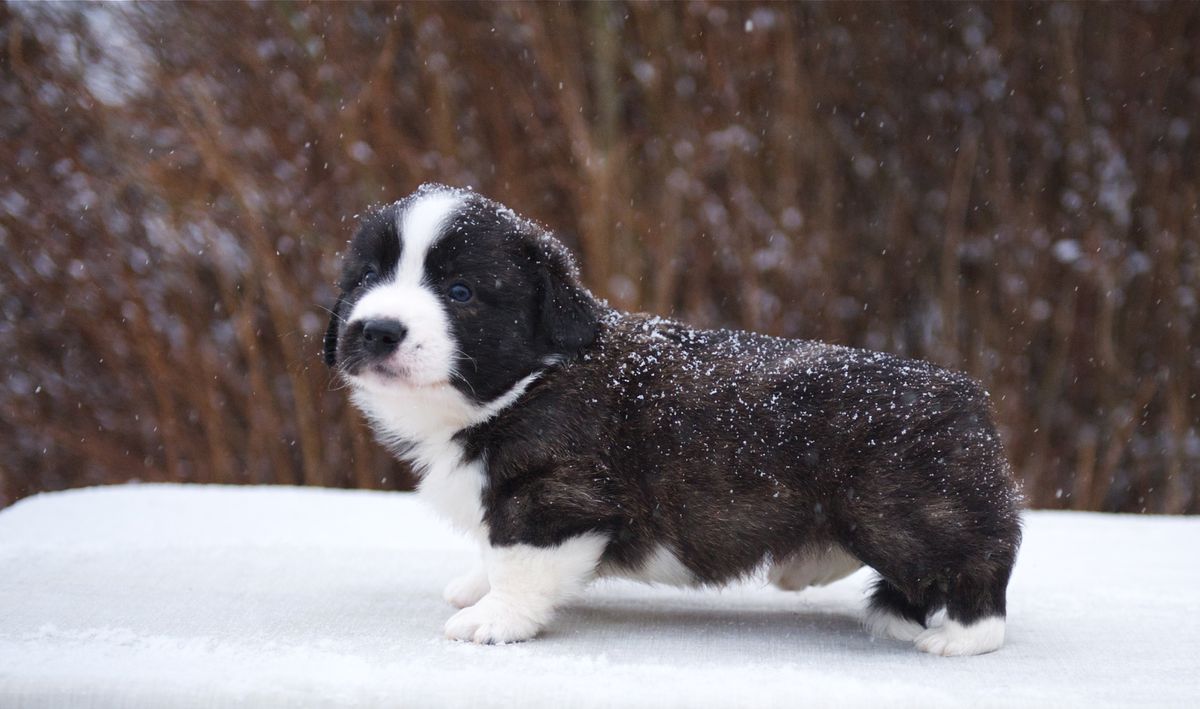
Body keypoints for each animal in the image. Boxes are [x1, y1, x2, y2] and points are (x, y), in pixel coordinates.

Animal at [326, 185, 1022, 657]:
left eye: (461, 292)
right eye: (365, 278)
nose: (377, 329)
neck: (526, 382)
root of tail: (968, 394)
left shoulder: (554, 497)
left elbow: (519, 559)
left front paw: (494, 618)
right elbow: (492, 547)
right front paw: (476, 584)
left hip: (904, 508)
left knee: (977, 563)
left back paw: (961, 636)